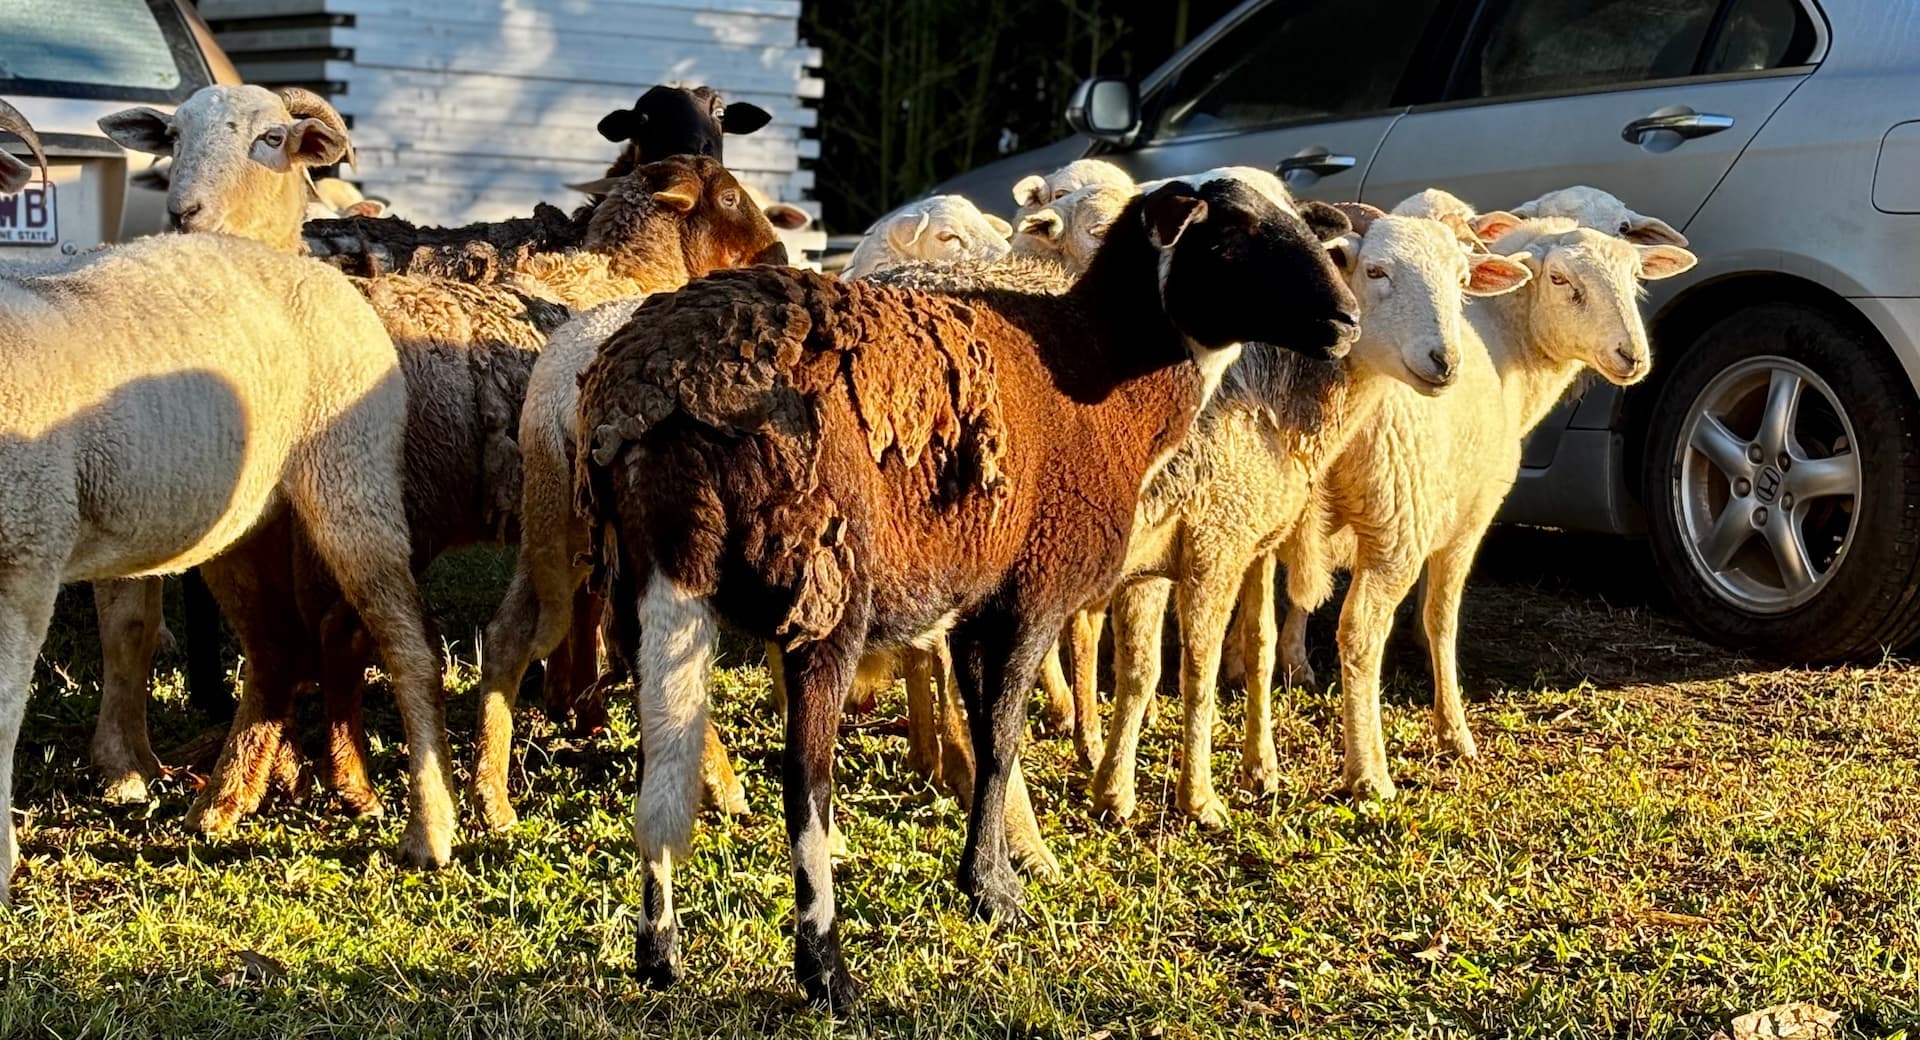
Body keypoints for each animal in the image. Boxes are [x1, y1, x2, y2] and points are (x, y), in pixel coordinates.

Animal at [0, 91, 448, 897]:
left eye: (272, 138)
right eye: (171, 137)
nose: (184, 209)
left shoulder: (27, 556)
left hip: (352, 477)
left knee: (406, 642)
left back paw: (430, 830)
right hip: (239, 528)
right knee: (276, 648)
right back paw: (222, 802)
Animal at [1087, 208, 1535, 826]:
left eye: (1462, 277)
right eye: (1376, 271)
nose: (1445, 362)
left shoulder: (1164, 557)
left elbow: (1144, 668)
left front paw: (1115, 793)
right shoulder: (1216, 541)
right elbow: (1198, 671)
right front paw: (1199, 798)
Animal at [1280, 216, 1696, 799]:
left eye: (1636, 277)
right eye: (1561, 281)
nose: (1633, 356)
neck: (1505, 347)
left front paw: (1294, 666)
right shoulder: (1468, 518)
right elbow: (1441, 618)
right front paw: (1452, 730)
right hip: (1396, 518)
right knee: (1360, 633)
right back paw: (1369, 773)